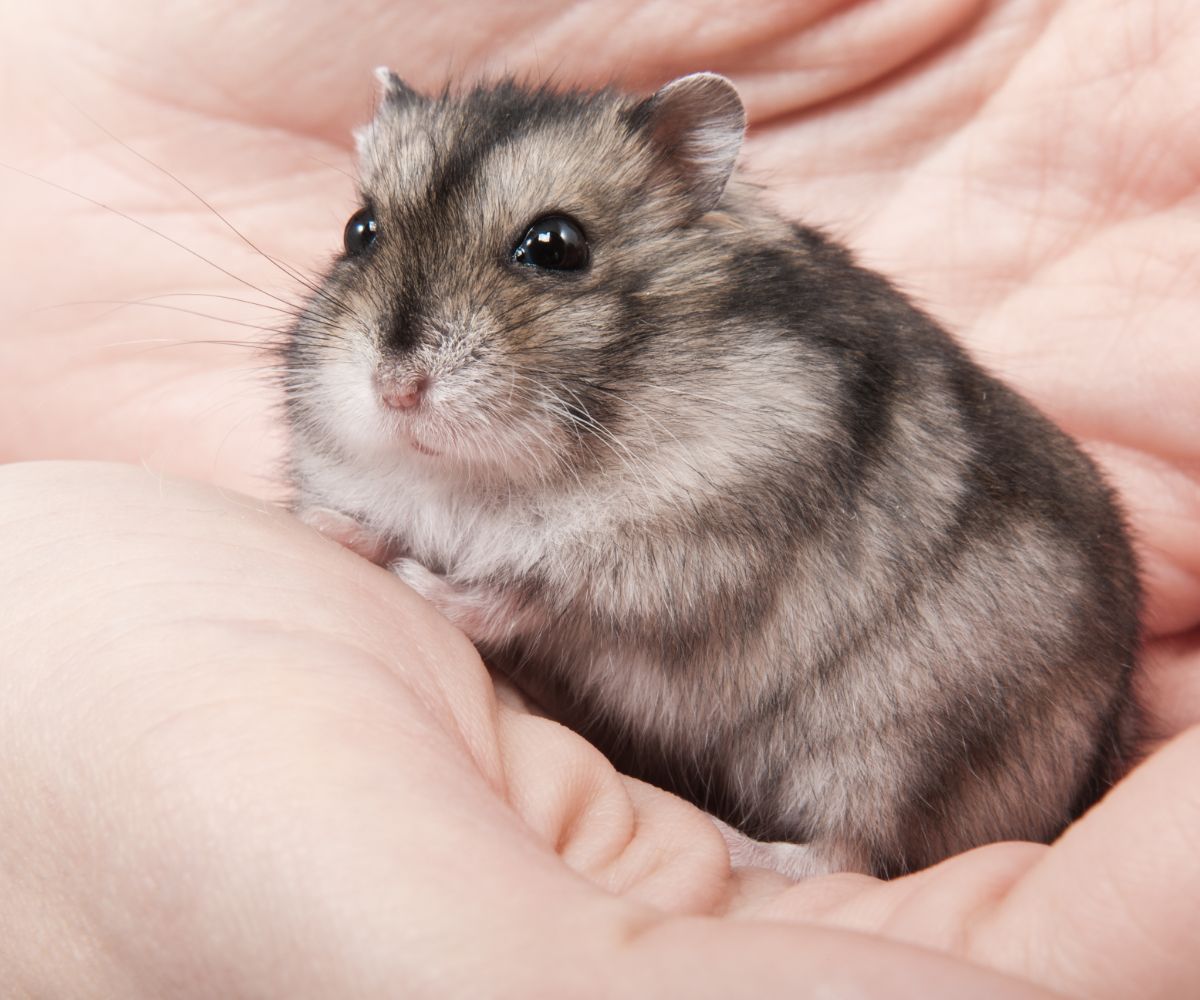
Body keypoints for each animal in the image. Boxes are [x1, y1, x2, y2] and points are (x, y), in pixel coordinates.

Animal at [283, 70, 1141, 877]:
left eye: (556, 246)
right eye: (359, 231)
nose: (396, 389)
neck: (484, 475)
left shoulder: (680, 558)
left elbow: (520, 596)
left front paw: (412, 577)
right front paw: (325, 524)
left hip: (895, 740)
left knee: (845, 852)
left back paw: (740, 847)